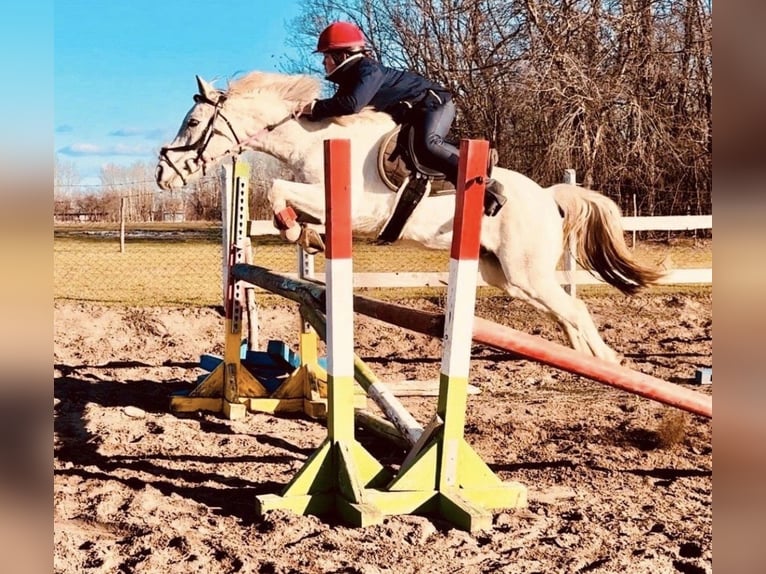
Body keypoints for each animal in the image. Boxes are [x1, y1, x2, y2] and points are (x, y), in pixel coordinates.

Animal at [155, 72, 663, 364]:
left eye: (193, 123)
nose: (162, 175)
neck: (313, 140)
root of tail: (548, 196)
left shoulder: (359, 209)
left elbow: (279, 191)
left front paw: (298, 228)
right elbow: (293, 208)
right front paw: (307, 235)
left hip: (527, 272)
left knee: (575, 310)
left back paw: (608, 364)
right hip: (507, 277)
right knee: (564, 315)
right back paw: (584, 362)